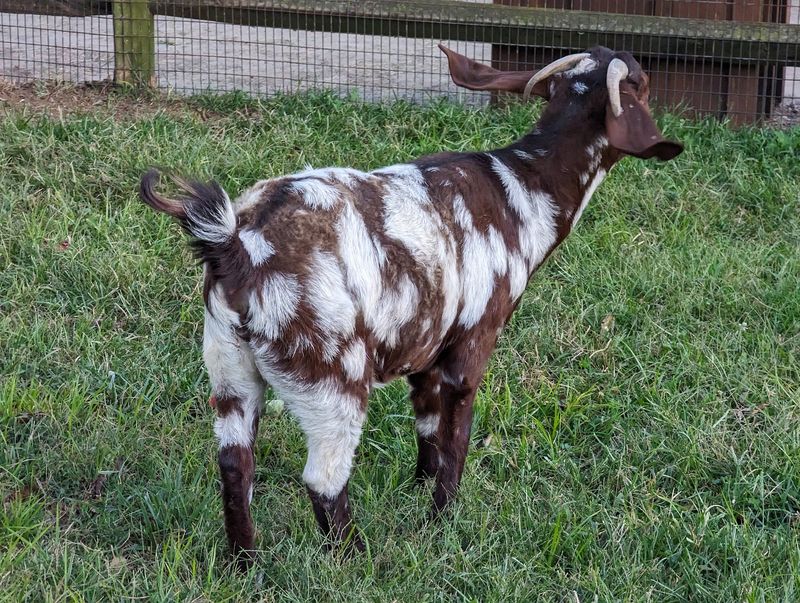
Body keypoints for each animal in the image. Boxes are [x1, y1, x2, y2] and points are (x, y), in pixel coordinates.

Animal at [138, 45, 683, 566]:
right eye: (642, 81)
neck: (523, 188)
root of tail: (235, 245)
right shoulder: (472, 342)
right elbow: (456, 434)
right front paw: (442, 519)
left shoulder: (425, 344)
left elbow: (426, 425)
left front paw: (417, 488)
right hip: (330, 377)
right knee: (324, 477)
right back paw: (357, 561)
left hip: (228, 367)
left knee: (235, 465)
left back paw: (244, 563)